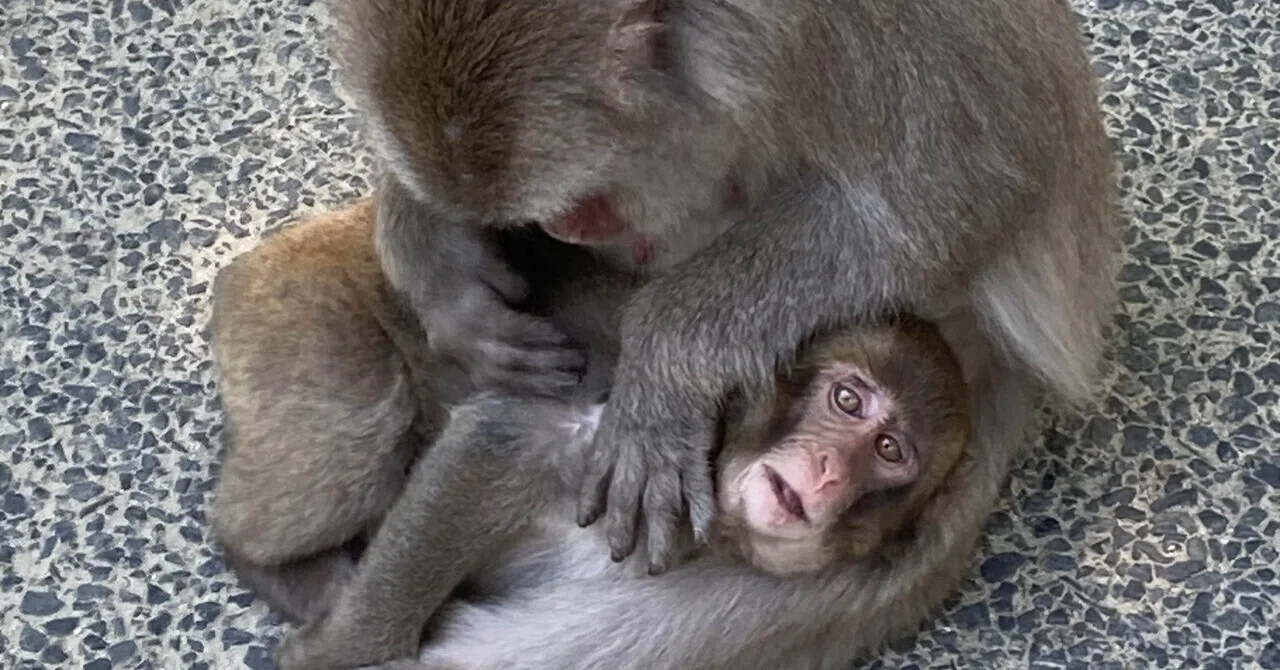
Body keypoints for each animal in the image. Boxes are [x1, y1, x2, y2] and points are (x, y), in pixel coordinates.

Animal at [273, 314, 973, 670]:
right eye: (848, 400)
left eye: (890, 451)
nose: (829, 470)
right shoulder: (632, 462)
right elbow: (502, 440)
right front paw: (334, 654)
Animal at [329, 0, 1118, 596]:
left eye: (588, 201)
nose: (559, 229)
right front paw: (442, 271)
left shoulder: (874, 30)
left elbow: (954, 194)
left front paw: (662, 373)